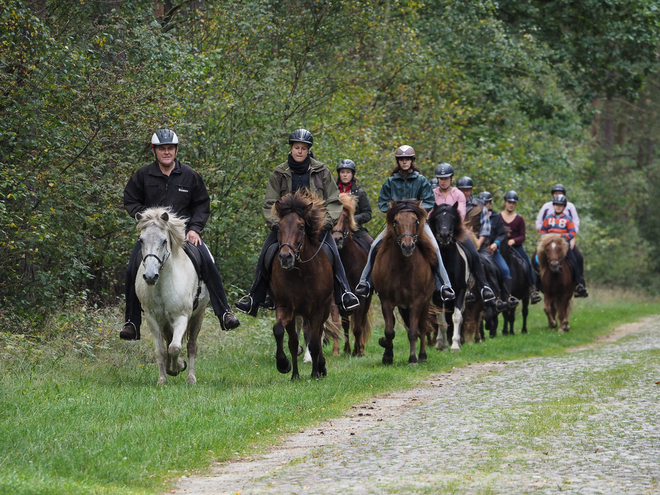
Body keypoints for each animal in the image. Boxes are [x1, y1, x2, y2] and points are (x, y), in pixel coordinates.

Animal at [133, 207, 208, 386]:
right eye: (141, 240)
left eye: (164, 241)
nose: (150, 276)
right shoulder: (152, 318)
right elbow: (161, 350)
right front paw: (163, 379)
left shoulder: (182, 317)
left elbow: (175, 347)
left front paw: (178, 367)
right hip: (166, 322)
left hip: (199, 314)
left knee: (191, 346)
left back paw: (191, 378)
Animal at [268, 190, 332, 380]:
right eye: (278, 227)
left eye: (302, 227)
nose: (285, 257)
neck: (301, 273)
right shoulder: (286, 308)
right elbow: (284, 335)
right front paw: (286, 367)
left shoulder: (318, 309)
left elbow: (314, 343)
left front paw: (316, 373)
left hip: (323, 311)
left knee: (317, 335)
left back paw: (320, 367)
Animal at [328, 193, 372, 356]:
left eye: (346, 217)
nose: (337, 239)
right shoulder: (337, 297)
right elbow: (339, 324)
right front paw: (338, 351)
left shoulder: (361, 296)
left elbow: (358, 326)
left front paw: (359, 351)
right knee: (347, 323)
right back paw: (348, 349)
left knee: (362, 321)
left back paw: (360, 348)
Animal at [372, 200, 438, 366]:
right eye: (395, 221)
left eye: (416, 221)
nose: (407, 246)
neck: (402, 267)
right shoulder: (386, 301)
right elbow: (389, 331)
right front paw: (387, 355)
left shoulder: (416, 301)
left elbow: (414, 332)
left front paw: (413, 358)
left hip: (425, 302)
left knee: (422, 326)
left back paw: (422, 355)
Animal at [428, 202, 474, 352]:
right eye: (437, 219)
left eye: (453, 218)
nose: (444, 236)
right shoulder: (438, 295)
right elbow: (441, 319)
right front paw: (443, 345)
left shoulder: (460, 291)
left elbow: (457, 317)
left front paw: (455, 345)